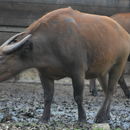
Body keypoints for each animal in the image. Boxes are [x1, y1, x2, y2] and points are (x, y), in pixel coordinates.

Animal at [0, 7, 130, 122]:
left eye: (1, 58)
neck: (50, 43)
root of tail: (124, 33)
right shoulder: (44, 74)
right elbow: (48, 97)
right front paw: (44, 118)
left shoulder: (78, 72)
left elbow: (78, 96)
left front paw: (82, 119)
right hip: (102, 71)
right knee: (107, 91)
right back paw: (106, 116)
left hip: (119, 65)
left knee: (111, 89)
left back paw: (100, 117)